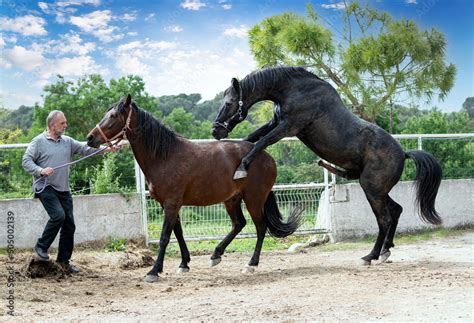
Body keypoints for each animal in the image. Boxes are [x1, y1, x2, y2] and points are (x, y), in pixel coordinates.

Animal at [85, 94, 304, 284]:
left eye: (113, 116)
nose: (90, 138)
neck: (165, 156)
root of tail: (265, 155)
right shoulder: (168, 205)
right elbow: (178, 233)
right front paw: (184, 264)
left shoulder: (172, 204)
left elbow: (165, 237)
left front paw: (153, 271)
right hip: (232, 199)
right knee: (239, 224)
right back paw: (216, 255)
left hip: (254, 199)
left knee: (260, 227)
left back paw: (251, 264)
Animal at [213, 66, 442, 266]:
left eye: (229, 103)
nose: (216, 131)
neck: (294, 90)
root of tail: (403, 154)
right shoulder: (275, 122)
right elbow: (252, 138)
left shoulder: (288, 127)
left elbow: (261, 142)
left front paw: (241, 167)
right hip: (378, 190)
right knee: (395, 211)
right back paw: (385, 251)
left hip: (372, 190)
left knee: (384, 219)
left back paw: (370, 256)